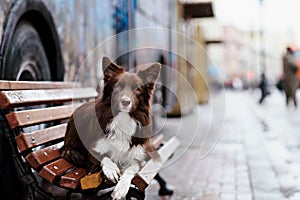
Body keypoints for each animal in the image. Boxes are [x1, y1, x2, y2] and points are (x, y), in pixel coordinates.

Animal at [59, 55, 161, 198]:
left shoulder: (138, 156)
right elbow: (104, 157)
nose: (125, 101)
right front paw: (111, 170)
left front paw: (121, 188)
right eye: (118, 87)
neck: (123, 119)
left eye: (137, 89)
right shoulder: (94, 148)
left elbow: (132, 167)